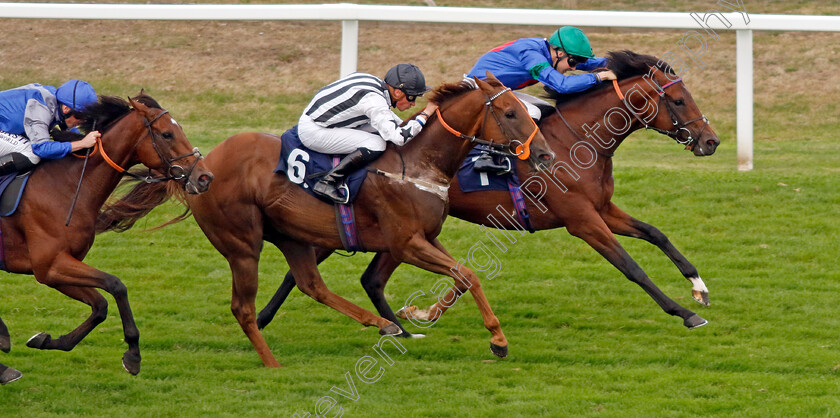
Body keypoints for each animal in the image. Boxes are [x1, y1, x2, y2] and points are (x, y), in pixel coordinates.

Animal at [0, 94, 213, 376]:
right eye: (167, 134)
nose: (205, 177)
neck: (67, 186)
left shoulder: (55, 269)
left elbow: (100, 306)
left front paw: (47, 340)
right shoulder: (50, 264)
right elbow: (116, 284)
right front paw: (133, 354)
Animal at [258, 49, 720, 336]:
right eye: (680, 101)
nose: (711, 142)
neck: (578, 141)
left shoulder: (602, 208)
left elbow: (656, 233)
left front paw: (698, 286)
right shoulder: (582, 220)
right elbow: (631, 266)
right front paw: (684, 313)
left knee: (363, 276)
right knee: (304, 268)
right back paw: (261, 318)